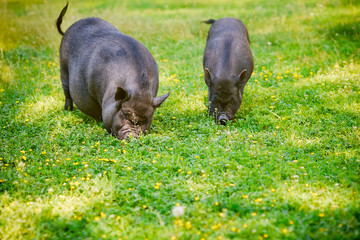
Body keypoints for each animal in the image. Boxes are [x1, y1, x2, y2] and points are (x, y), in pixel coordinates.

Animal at [56, 2, 169, 140]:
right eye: (124, 114)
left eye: (145, 119)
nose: (131, 136)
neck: (139, 89)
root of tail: (67, 30)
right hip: (63, 65)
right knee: (66, 90)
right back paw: (67, 110)